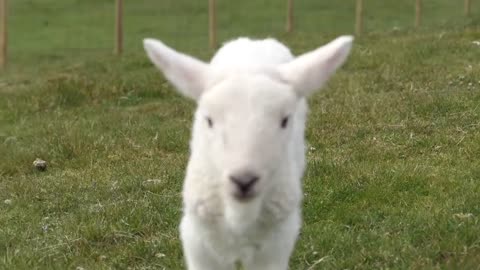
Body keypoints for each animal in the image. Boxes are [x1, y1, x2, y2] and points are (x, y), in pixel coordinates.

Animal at [142, 34, 352, 268]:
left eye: (285, 121)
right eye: (209, 120)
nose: (244, 180)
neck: (240, 216)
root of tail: (255, 41)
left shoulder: (276, 244)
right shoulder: (198, 241)